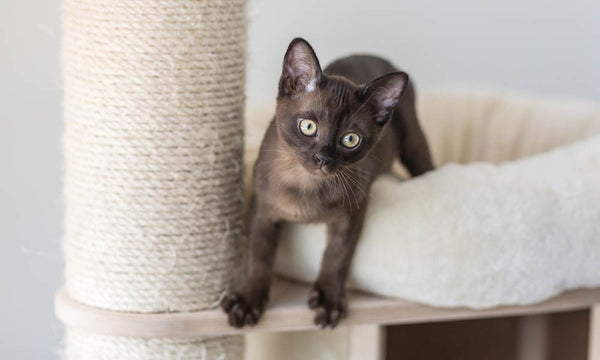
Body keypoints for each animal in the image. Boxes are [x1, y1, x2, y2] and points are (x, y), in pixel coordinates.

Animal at [220, 38, 432, 328]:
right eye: (308, 127)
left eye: (350, 139)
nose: (323, 158)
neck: (306, 185)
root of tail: (377, 56)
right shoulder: (262, 211)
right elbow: (257, 257)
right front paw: (248, 301)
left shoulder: (353, 212)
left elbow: (337, 255)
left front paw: (329, 301)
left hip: (413, 143)